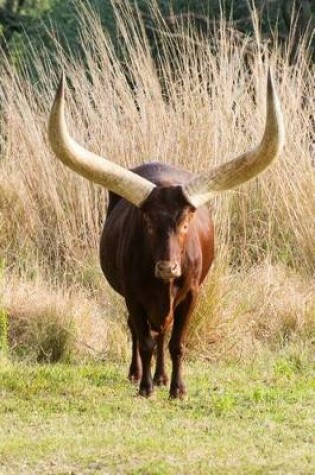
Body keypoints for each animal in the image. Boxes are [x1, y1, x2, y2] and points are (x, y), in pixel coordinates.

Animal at [48, 69, 286, 398]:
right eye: (147, 222)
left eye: (186, 222)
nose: (167, 268)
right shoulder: (133, 296)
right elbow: (144, 340)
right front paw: (145, 387)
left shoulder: (192, 294)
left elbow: (177, 343)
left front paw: (177, 388)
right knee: (140, 331)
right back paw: (138, 374)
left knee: (163, 330)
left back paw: (161, 377)